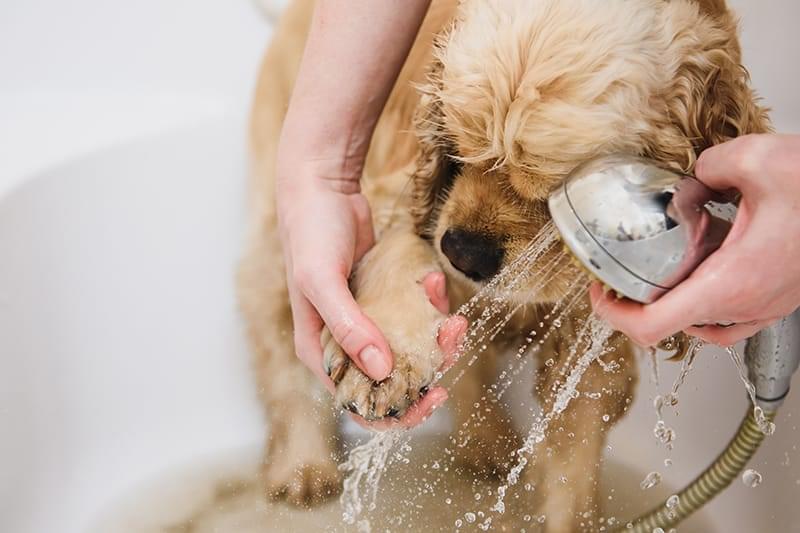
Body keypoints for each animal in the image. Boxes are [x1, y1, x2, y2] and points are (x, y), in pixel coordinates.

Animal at [238, 1, 768, 528]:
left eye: (556, 191)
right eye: (456, 147)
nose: (462, 252)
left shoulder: (593, 334)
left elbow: (573, 455)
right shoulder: (398, 195)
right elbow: (396, 252)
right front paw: (381, 366)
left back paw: (487, 444)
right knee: (281, 350)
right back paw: (304, 468)